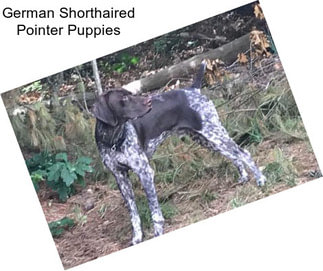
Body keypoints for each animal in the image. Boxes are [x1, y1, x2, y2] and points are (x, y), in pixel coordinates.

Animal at [92, 60, 268, 245]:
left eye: (130, 94)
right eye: (124, 98)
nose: (149, 102)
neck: (113, 140)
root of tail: (193, 89)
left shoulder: (144, 172)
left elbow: (155, 213)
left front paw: (158, 232)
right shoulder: (121, 178)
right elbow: (134, 214)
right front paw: (137, 237)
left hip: (214, 134)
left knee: (243, 153)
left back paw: (260, 179)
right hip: (207, 139)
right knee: (235, 155)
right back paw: (244, 177)